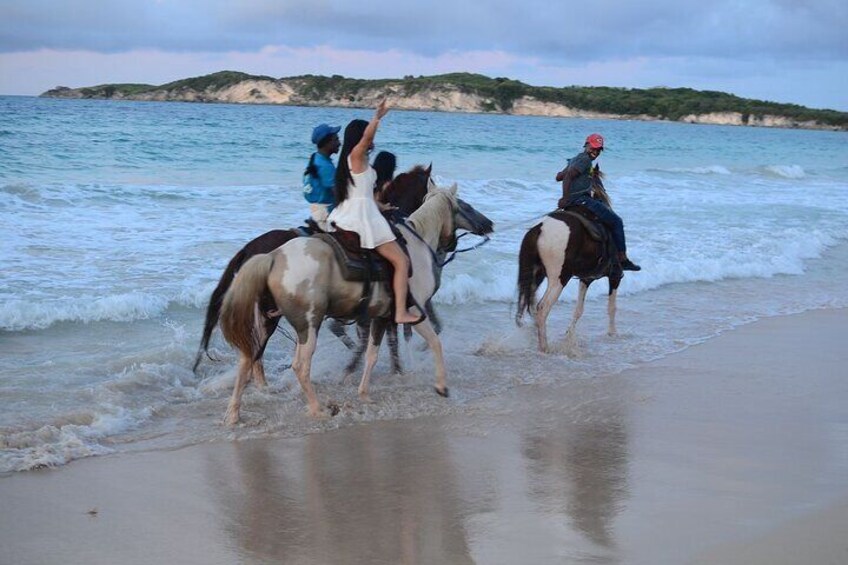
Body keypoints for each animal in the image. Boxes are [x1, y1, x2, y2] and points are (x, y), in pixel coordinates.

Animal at [219, 185, 494, 424]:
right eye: (466, 206)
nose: (489, 224)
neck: (416, 246)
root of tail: (274, 257)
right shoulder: (414, 313)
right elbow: (435, 342)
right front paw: (441, 386)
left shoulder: (381, 317)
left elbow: (372, 353)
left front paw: (364, 392)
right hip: (308, 324)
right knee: (299, 366)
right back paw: (317, 409)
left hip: (278, 321)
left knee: (248, 359)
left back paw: (234, 414)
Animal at [512, 167, 620, 352]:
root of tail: (539, 229)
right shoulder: (615, 275)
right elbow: (611, 307)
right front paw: (613, 333)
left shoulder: (586, 278)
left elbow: (579, 309)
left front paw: (569, 334)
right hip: (559, 278)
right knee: (542, 308)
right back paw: (544, 346)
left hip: (536, 275)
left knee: (531, 304)